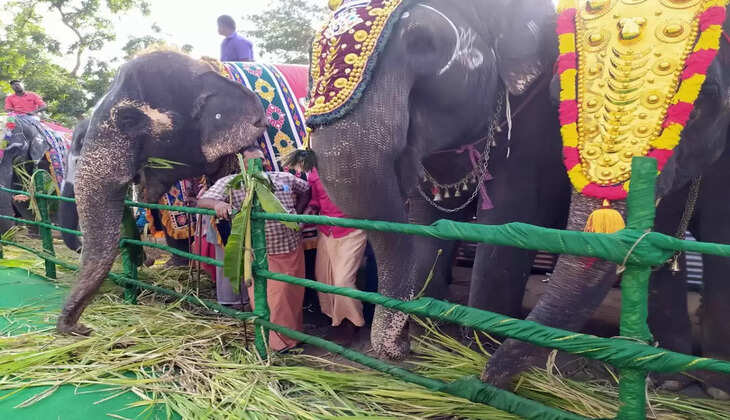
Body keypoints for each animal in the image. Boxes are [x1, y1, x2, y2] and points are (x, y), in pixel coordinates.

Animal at [307, 0, 569, 359]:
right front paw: (431, 336)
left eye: (424, 41)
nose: (402, 344)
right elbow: (431, 220)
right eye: (311, 53)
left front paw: (480, 349)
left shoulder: (535, 125)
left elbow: (509, 219)